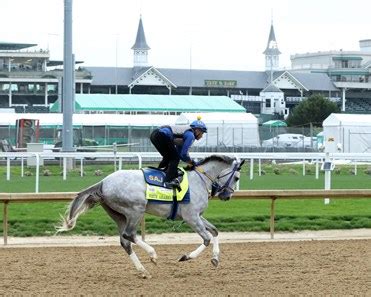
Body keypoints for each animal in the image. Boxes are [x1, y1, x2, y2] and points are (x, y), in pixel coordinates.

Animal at [57, 154, 244, 276]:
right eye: (236, 177)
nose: (227, 196)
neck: (199, 180)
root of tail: (103, 183)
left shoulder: (197, 215)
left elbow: (215, 231)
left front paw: (215, 259)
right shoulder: (191, 217)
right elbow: (206, 238)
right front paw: (185, 257)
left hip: (119, 215)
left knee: (125, 241)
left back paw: (142, 270)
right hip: (135, 210)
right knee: (129, 234)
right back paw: (152, 255)